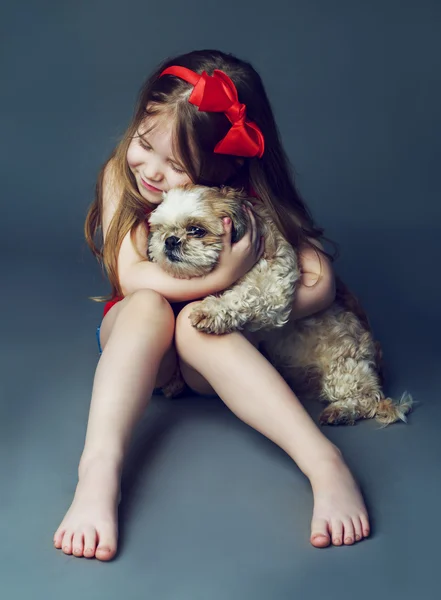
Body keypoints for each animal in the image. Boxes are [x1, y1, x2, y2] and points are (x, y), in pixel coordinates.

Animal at [147, 184, 412, 426]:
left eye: (196, 230)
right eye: (160, 230)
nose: (170, 240)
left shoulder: (272, 284)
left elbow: (244, 294)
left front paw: (210, 310)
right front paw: (173, 380)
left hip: (344, 367)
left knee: (369, 399)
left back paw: (342, 411)